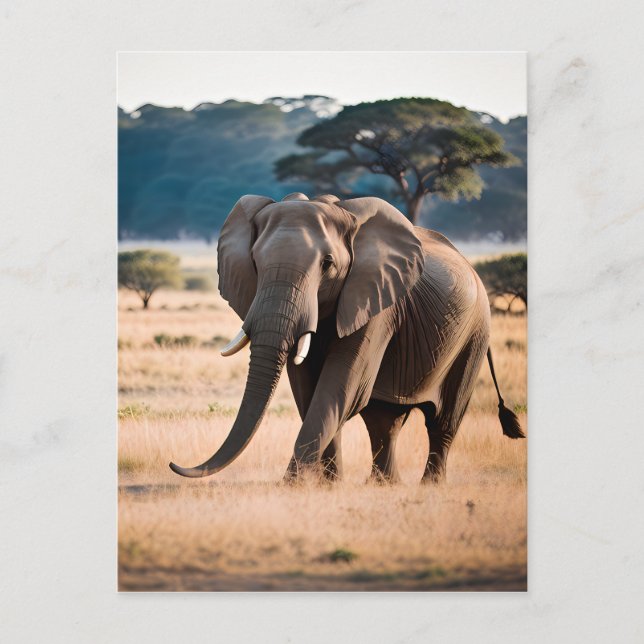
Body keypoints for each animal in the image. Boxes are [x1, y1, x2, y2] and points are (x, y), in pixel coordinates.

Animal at [170, 193, 524, 483]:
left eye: (328, 264)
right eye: (255, 261)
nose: (175, 465)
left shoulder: (377, 302)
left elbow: (340, 385)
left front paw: (292, 485)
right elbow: (308, 389)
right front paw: (326, 485)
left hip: (475, 334)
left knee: (443, 421)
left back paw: (430, 486)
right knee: (383, 421)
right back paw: (384, 486)